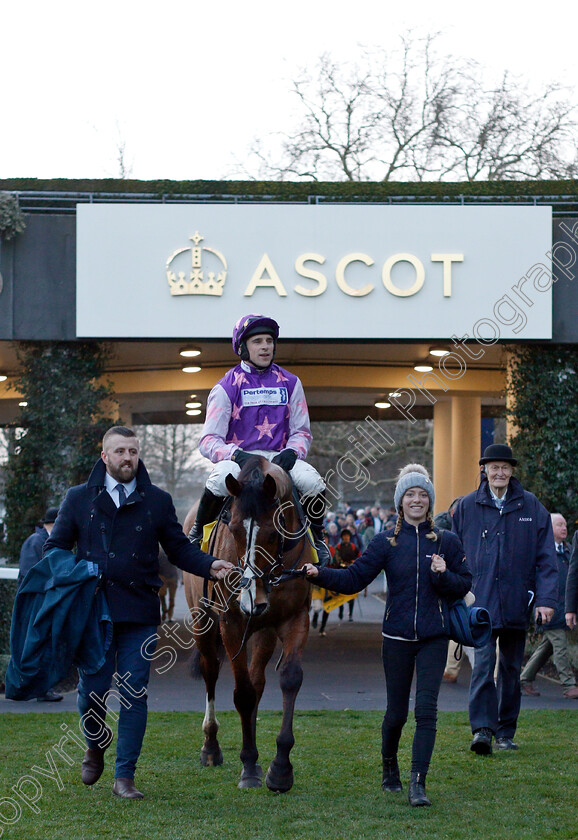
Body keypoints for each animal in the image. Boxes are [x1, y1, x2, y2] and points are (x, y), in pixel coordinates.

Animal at [182, 456, 312, 792]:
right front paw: (249, 765)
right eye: (234, 530)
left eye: (273, 533)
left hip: (263, 629)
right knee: (211, 671)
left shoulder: (295, 617)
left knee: (257, 682)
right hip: (203, 621)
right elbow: (241, 693)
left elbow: (289, 678)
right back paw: (211, 747)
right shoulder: (231, 621)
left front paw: (280, 768)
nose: (253, 599)